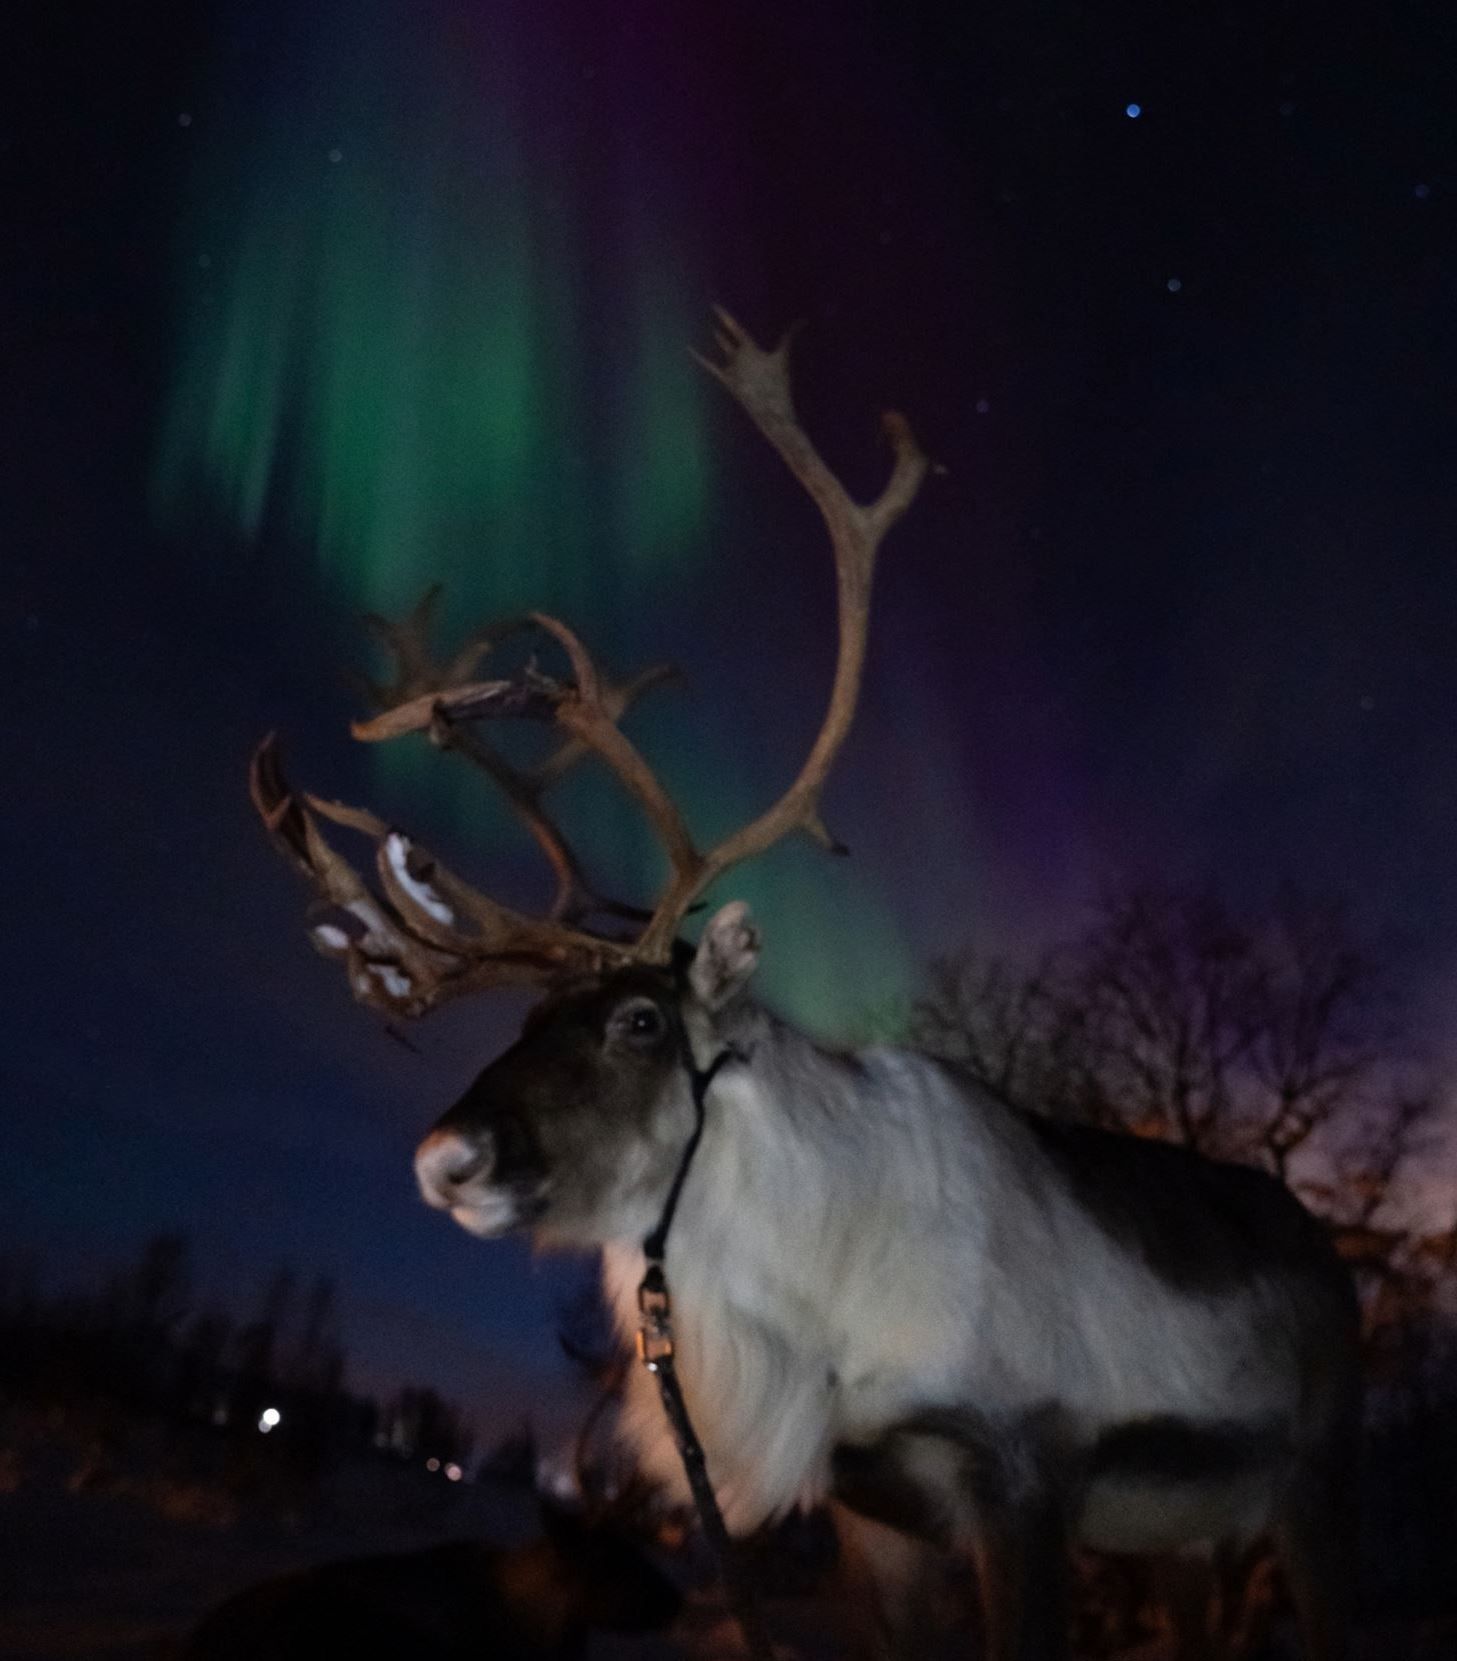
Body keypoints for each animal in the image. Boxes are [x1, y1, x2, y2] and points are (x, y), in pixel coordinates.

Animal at [252, 312, 1361, 1661]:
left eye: (639, 1019)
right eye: (522, 1017)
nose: (445, 1156)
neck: (816, 1308)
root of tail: (1325, 1250)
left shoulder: (1023, 1482)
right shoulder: (872, 1510)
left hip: (1311, 1480)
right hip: (1184, 1535)